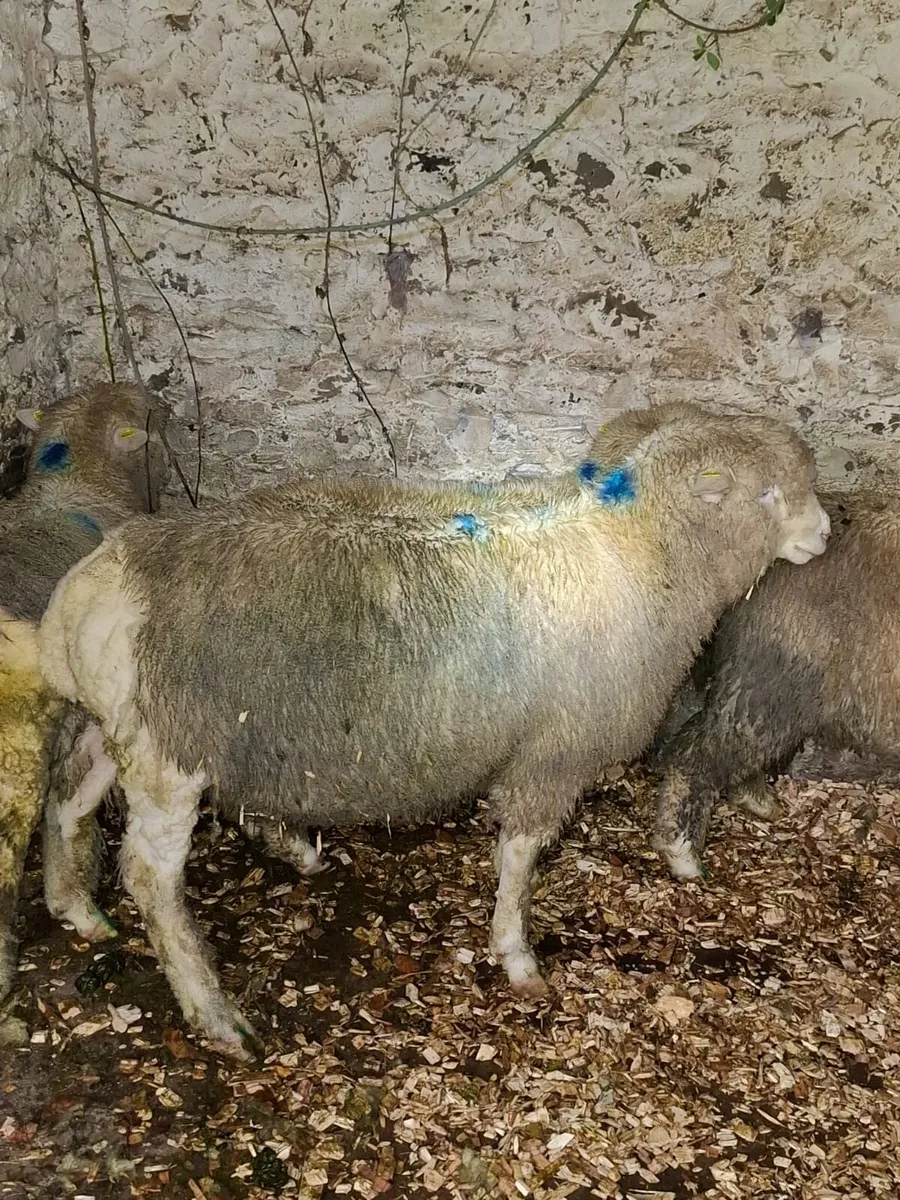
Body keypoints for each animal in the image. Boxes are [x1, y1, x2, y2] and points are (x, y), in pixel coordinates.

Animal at [37, 401, 829, 1058]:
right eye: (765, 492)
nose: (824, 533)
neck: (642, 550)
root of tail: (84, 598)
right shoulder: (552, 751)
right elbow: (521, 854)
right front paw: (515, 954)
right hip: (170, 754)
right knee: (150, 875)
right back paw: (214, 1012)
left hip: (117, 731)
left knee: (69, 797)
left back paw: (78, 907)